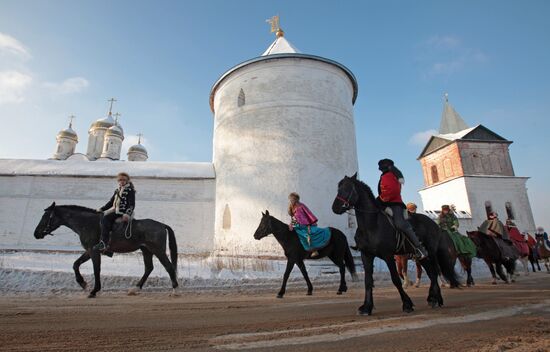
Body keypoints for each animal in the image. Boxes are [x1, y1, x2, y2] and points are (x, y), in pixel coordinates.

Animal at [33, 204, 179, 296]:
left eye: (45, 217)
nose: (36, 233)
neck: (87, 223)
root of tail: (162, 225)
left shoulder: (94, 251)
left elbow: (96, 270)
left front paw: (94, 290)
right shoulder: (89, 251)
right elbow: (76, 264)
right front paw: (83, 283)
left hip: (158, 250)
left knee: (169, 267)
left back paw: (175, 290)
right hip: (146, 250)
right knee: (148, 268)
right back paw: (135, 289)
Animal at [334, 175, 460, 314]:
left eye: (347, 188)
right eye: (338, 188)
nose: (335, 207)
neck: (371, 225)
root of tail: (435, 225)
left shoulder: (388, 256)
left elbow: (395, 279)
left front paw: (407, 304)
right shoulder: (366, 255)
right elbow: (368, 281)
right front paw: (366, 307)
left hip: (431, 253)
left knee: (435, 271)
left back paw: (436, 298)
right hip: (421, 257)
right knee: (431, 273)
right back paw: (434, 298)